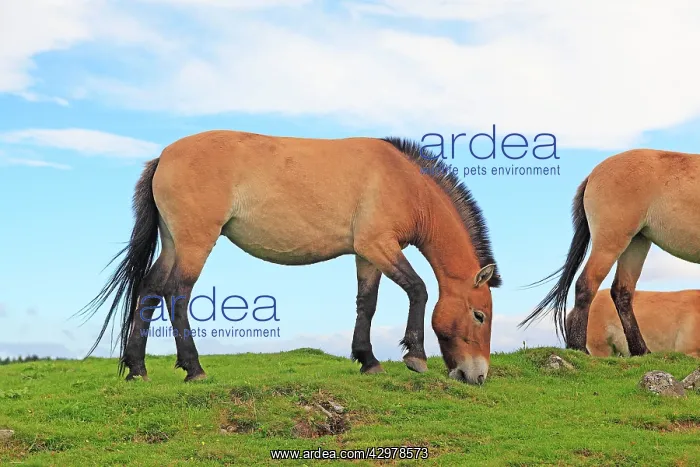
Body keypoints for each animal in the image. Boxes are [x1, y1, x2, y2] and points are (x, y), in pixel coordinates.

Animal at [79, 130, 501, 385]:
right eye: (479, 315)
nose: (477, 376)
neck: (405, 182)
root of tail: (164, 157)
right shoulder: (380, 246)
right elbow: (418, 289)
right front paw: (415, 356)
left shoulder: (367, 254)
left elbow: (367, 303)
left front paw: (367, 359)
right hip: (195, 242)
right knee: (177, 294)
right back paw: (194, 368)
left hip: (173, 243)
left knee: (149, 290)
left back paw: (137, 369)